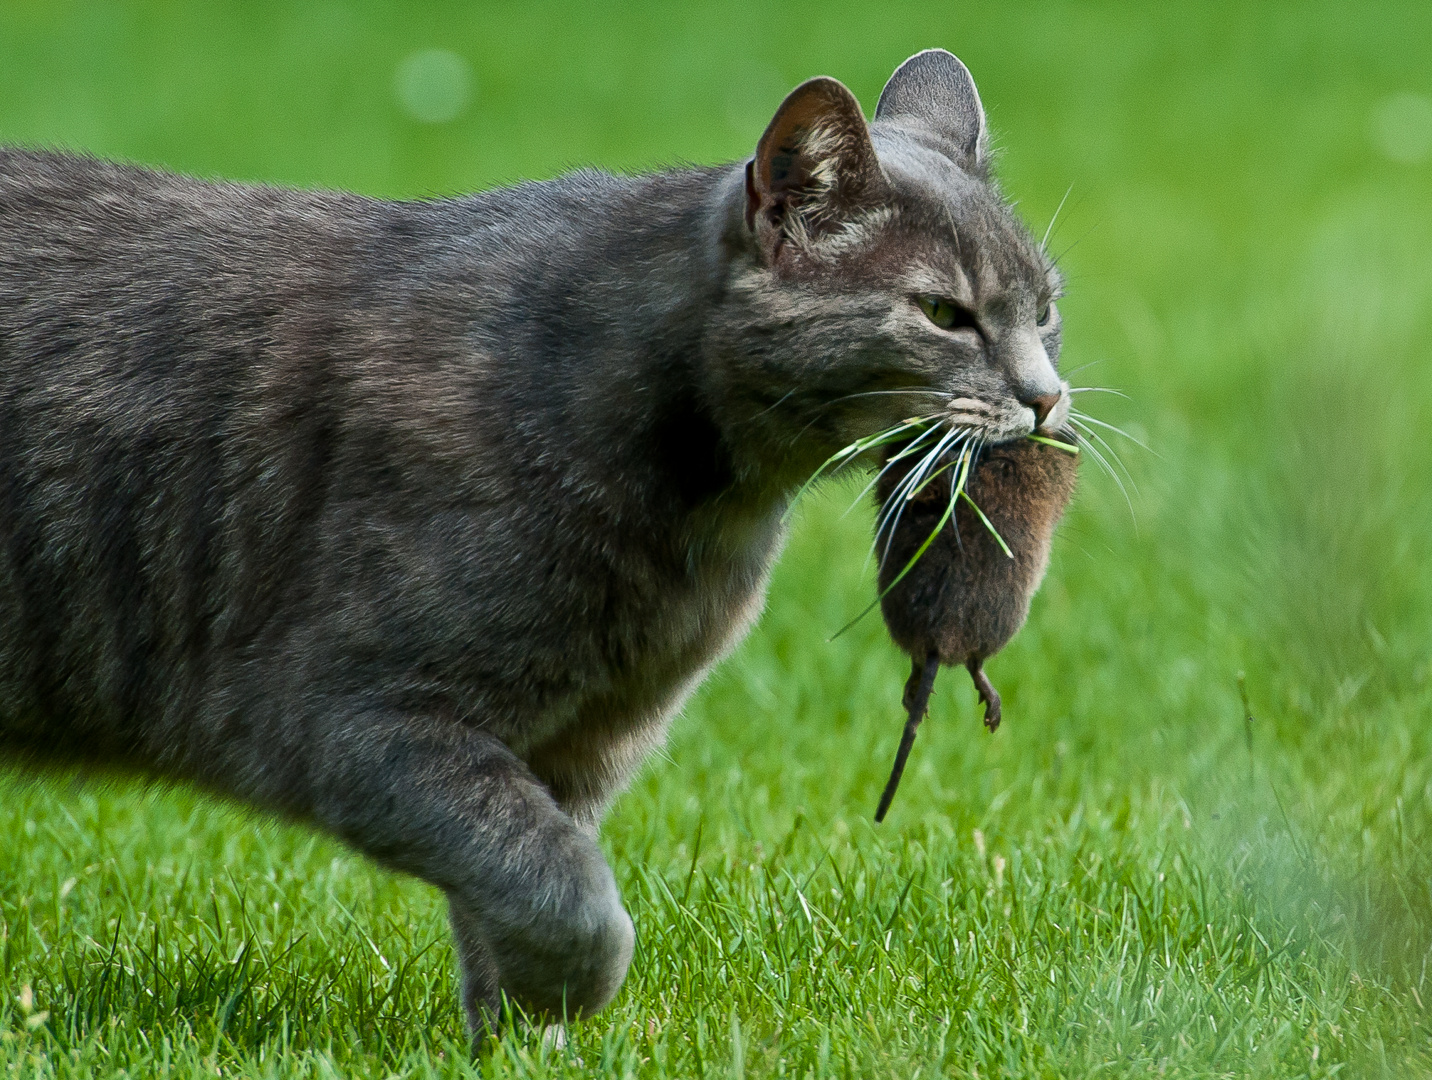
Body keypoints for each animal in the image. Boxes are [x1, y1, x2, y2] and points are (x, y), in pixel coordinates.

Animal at [0, 52, 1065, 1037]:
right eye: (944, 314)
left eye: (1044, 308)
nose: (1048, 396)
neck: (702, 509)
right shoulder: (343, 715)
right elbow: (561, 884)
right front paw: (566, 992)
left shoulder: (581, 744)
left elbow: (521, 869)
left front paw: (518, 1037)